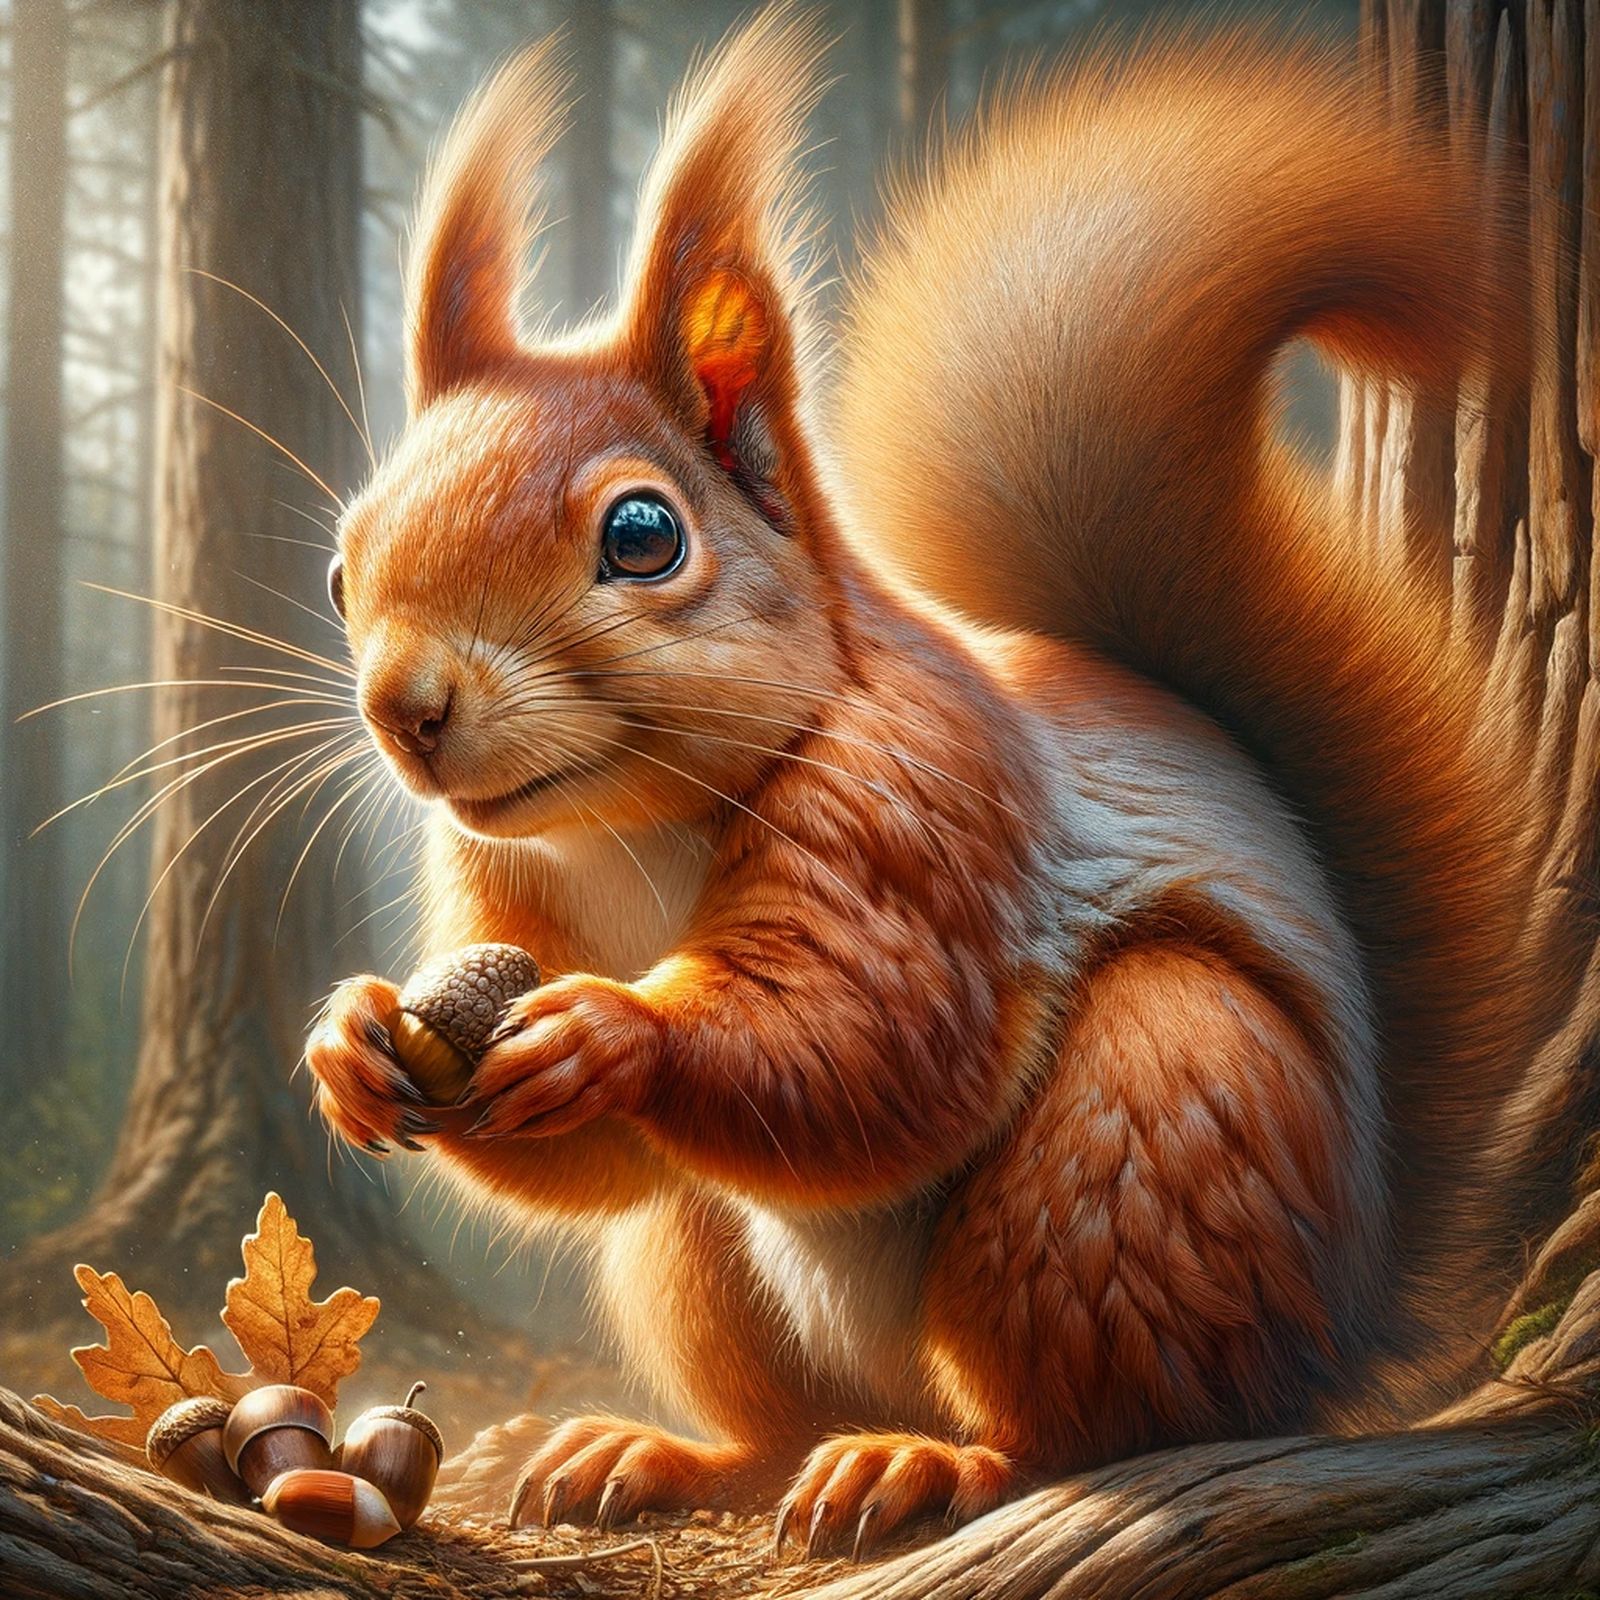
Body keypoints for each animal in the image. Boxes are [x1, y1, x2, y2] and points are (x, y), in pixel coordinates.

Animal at [304, 8, 1574, 1556]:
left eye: (645, 534)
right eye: (342, 563)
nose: (406, 710)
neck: (630, 828)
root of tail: (1338, 1327)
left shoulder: (927, 805)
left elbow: (876, 1040)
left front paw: (619, 1031)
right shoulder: (503, 886)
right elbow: (601, 1164)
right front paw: (351, 1035)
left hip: (1148, 1135)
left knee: (1098, 1427)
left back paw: (933, 1466)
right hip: (707, 1271)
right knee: (752, 1369)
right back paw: (656, 1453)